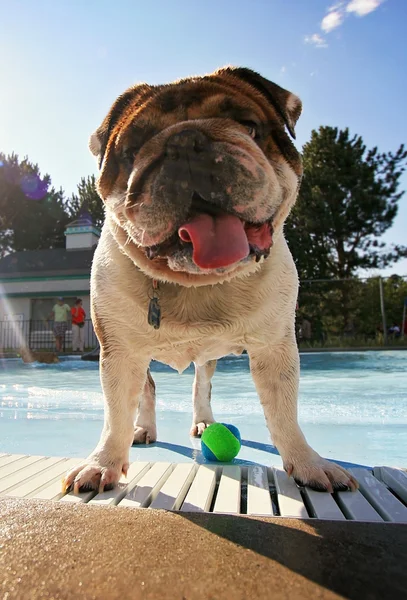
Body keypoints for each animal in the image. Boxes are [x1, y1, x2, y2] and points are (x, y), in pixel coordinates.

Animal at [62, 68, 358, 494]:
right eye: (132, 151)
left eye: (249, 127)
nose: (185, 141)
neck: (194, 283)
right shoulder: (119, 351)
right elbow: (116, 413)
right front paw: (102, 464)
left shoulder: (275, 348)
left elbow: (284, 412)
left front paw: (308, 463)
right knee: (146, 392)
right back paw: (144, 428)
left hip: (210, 359)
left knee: (201, 386)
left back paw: (204, 422)